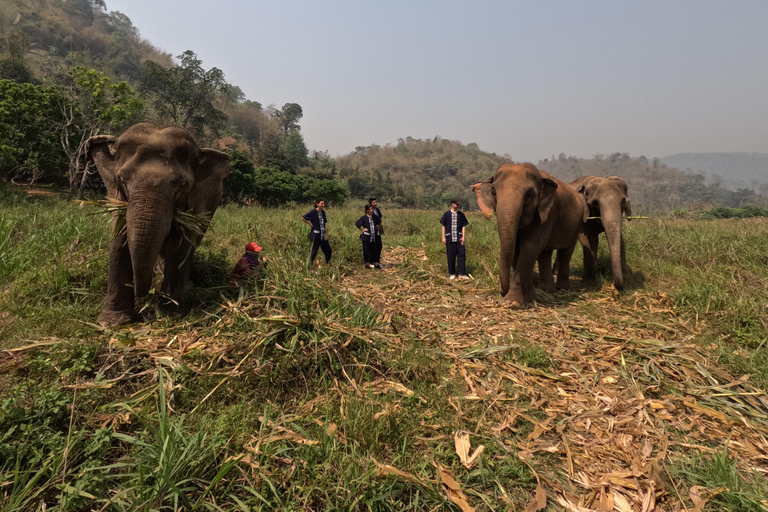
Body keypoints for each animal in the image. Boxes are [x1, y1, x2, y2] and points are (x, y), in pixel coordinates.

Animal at [87, 122, 230, 326]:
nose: (142, 295)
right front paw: (112, 323)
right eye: (122, 180)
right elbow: (119, 240)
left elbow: (179, 247)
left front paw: (168, 315)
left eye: (181, 185)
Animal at [468, 164, 588, 306]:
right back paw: (546, 289)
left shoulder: (548, 212)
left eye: (529, 195)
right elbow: (517, 247)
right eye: (494, 192)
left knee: (566, 251)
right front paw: (529, 298)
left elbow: (531, 245)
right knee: (545, 254)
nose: (503, 292)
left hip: (577, 224)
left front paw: (513, 302)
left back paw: (561, 288)